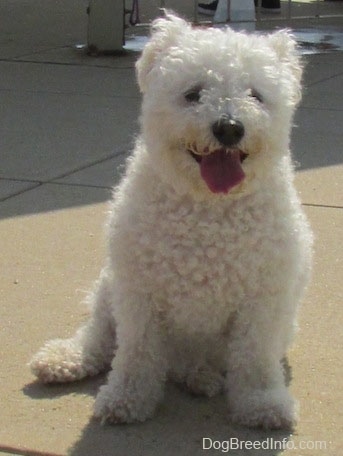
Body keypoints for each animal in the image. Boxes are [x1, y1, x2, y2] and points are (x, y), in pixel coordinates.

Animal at [30, 12, 314, 430]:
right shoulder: (139, 294)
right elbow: (136, 353)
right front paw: (126, 398)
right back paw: (67, 358)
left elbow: (255, 361)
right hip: (109, 287)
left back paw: (200, 376)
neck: (208, 207)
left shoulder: (263, 301)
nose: (229, 127)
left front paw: (263, 404)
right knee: (99, 335)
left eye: (255, 95)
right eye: (193, 93)